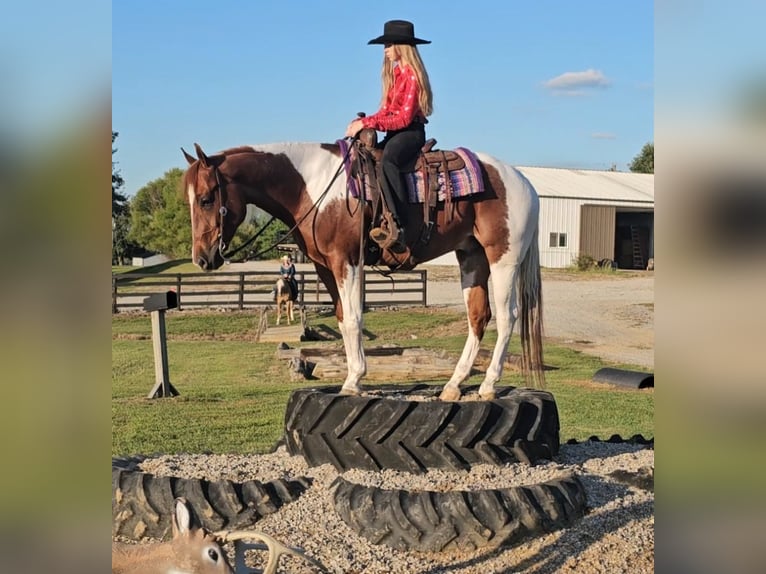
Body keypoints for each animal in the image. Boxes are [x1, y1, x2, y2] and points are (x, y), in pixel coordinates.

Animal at [182, 140, 544, 400]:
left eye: (206, 199)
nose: (202, 259)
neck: (312, 187)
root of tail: (524, 182)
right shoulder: (324, 266)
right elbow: (343, 319)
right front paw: (353, 376)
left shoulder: (347, 260)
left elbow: (355, 318)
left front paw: (354, 380)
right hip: (471, 256)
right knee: (478, 317)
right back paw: (454, 385)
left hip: (503, 258)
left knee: (507, 316)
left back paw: (488, 386)